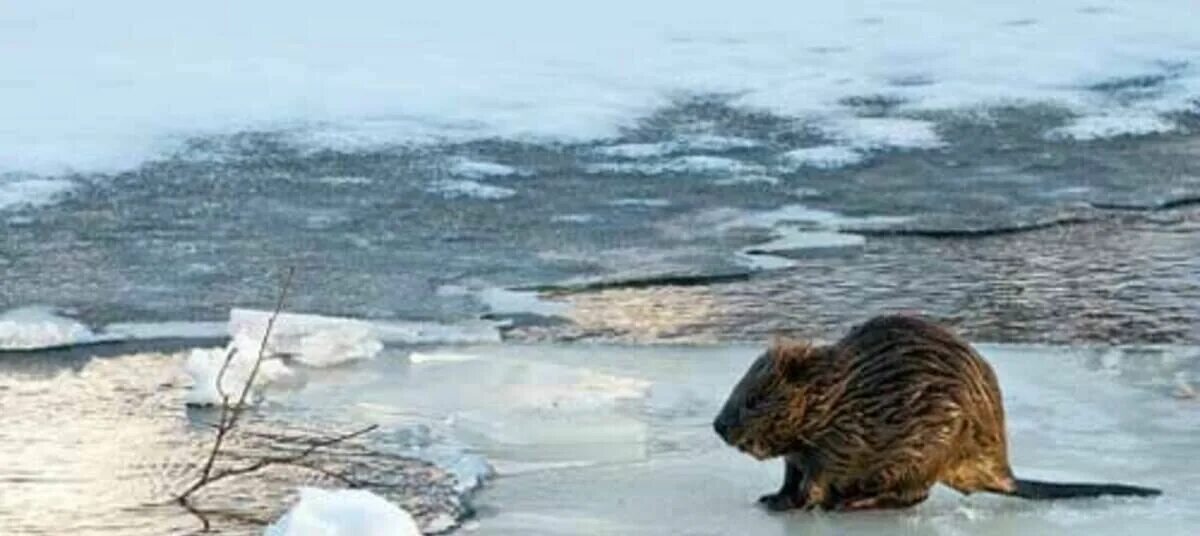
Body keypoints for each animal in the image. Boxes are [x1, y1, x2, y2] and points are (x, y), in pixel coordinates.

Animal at [710, 314, 1161, 513]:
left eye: (753, 400)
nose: (718, 426)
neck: (835, 397)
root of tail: (1002, 472)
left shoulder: (840, 441)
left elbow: (817, 481)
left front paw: (795, 504)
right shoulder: (799, 450)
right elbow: (791, 473)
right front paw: (772, 497)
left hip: (933, 445)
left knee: (914, 494)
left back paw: (858, 502)